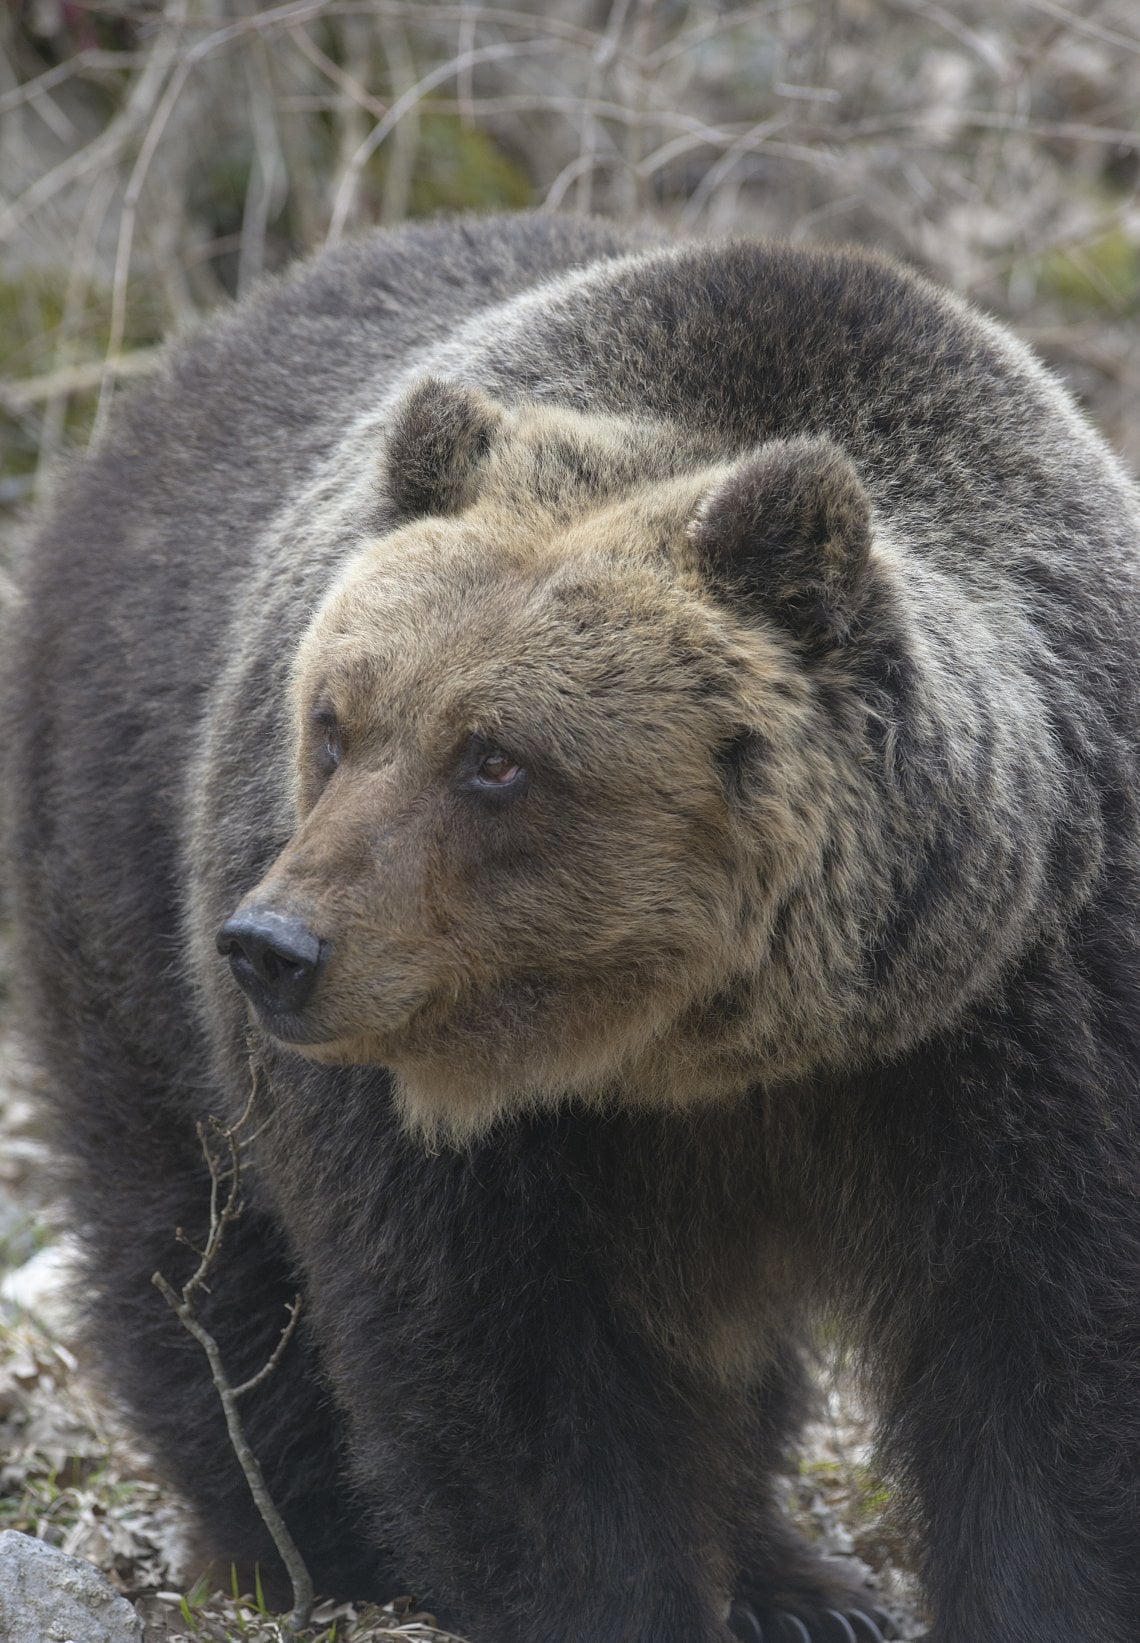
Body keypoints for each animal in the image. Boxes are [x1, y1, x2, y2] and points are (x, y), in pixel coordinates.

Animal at [4, 210, 1140, 1643]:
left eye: (493, 757)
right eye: (335, 720)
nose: (275, 944)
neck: (717, 1044)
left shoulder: (1034, 1018)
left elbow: (1051, 1364)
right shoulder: (460, 1128)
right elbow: (514, 1382)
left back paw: (793, 1581)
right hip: (124, 863)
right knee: (202, 1249)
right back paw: (305, 1544)